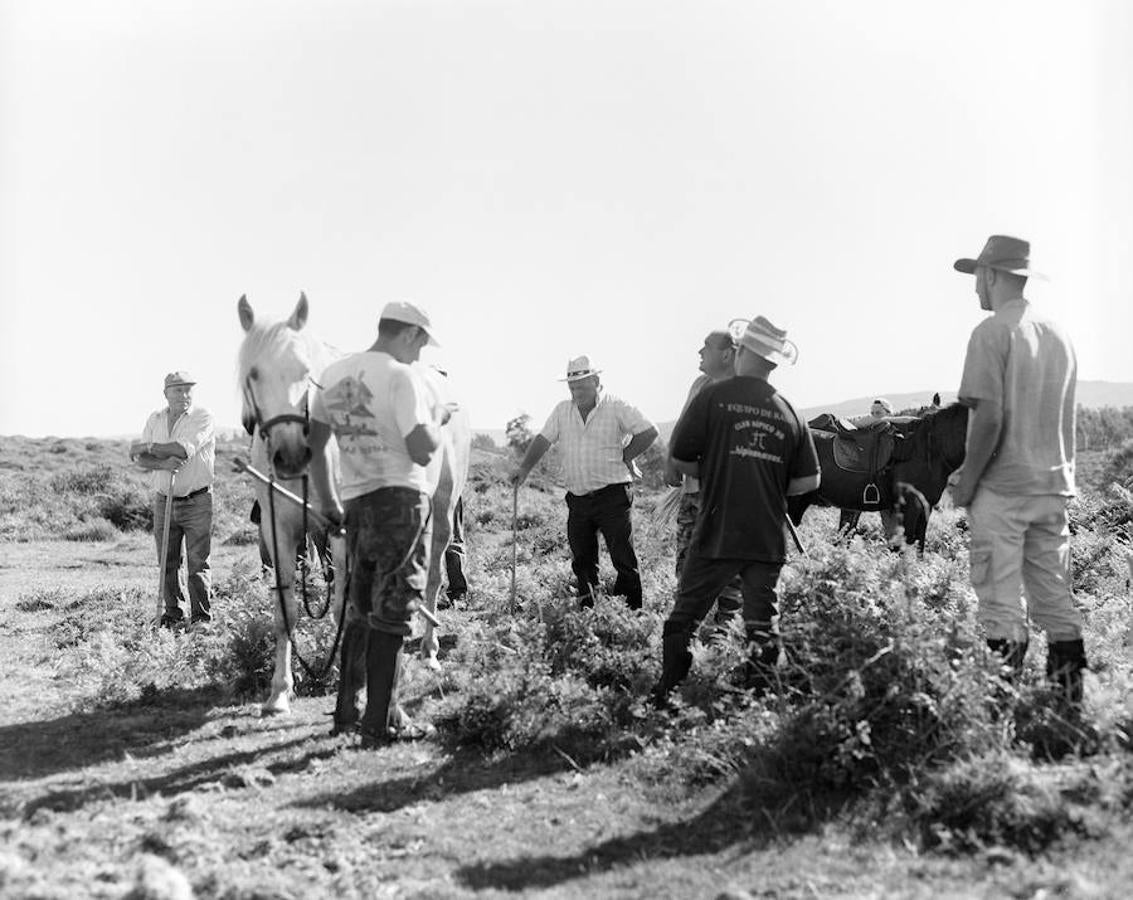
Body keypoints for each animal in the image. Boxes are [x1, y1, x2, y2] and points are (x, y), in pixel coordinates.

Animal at [236, 294, 471, 716]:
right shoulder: (279, 530)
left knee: (432, 578)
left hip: (443, 511)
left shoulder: (343, 530)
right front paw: (280, 692)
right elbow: (285, 610)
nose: (291, 454)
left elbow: (342, 605)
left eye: (305, 371)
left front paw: (339, 674)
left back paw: (429, 650)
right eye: (254, 373)